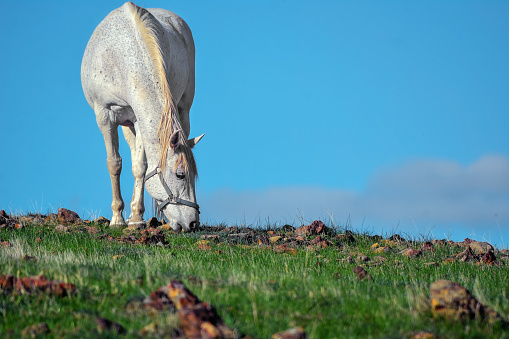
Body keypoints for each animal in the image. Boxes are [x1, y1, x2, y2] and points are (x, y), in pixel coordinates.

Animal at [79, 1, 202, 232]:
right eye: (180, 174)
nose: (192, 223)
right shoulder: (105, 115)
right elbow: (114, 163)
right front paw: (117, 218)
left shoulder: (140, 118)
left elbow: (140, 168)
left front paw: (136, 217)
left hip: (182, 110)